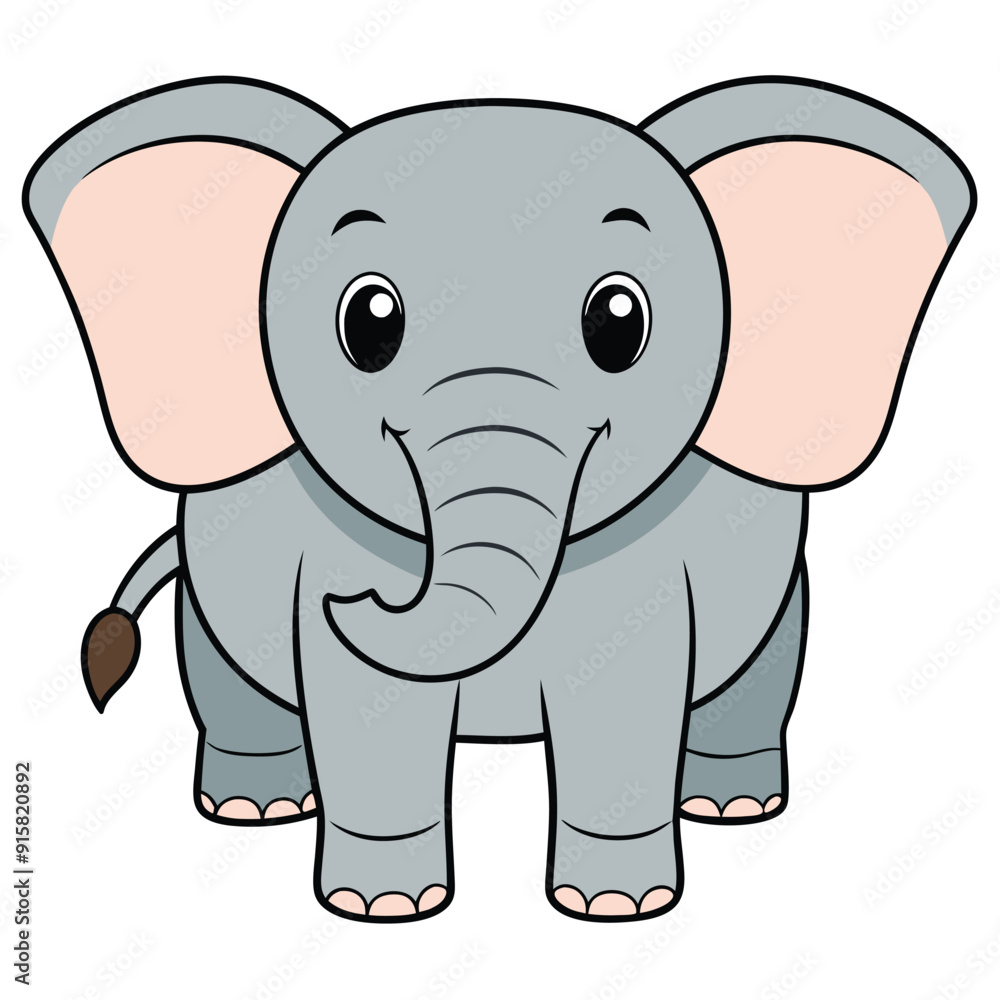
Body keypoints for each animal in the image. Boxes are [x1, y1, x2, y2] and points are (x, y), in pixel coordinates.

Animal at [24, 74, 975, 922]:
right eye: (369, 324)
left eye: (620, 322)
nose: (359, 598)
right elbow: (365, 702)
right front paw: (384, 909)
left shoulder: (646, 580)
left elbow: (626, 698)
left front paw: (615, 908)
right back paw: (254, 810)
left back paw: (730, 807)